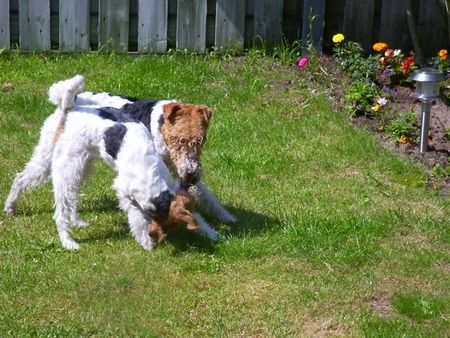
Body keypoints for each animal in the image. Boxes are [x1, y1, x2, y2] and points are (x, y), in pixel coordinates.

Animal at [3, 76, 221, 251]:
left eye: (201, 140)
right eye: (179, 140)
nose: (191, 175)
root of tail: (68, 105)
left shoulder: (175, 177)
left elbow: (206, 200)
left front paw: (216, 228)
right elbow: (137, 213)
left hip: (82, 164)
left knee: (64, 194)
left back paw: (72, 221)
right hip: (59, 163)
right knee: (31, 185)